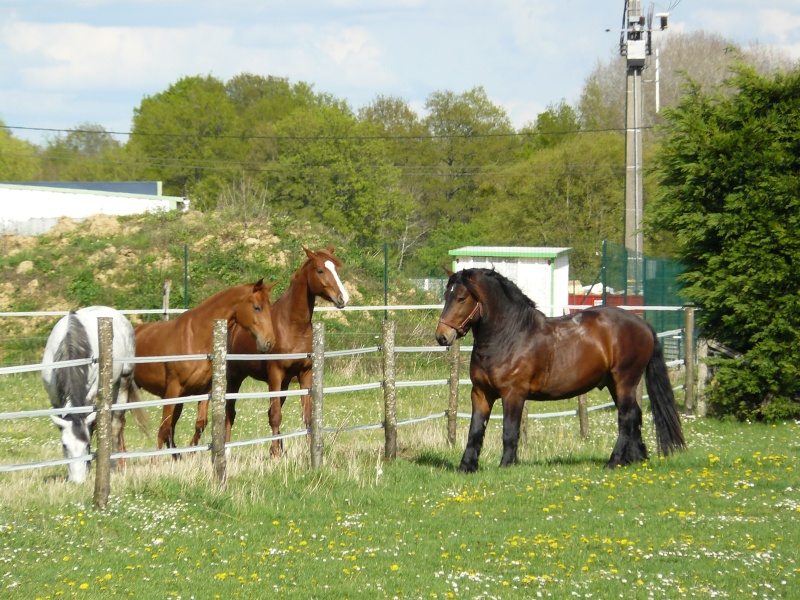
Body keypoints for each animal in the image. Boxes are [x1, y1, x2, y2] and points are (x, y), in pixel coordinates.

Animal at [133, 278, 276, 452]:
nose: (270, 342)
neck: (195, 337)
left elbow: (200, 424)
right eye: (257, 307)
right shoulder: (172, 390)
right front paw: (156, 458)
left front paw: (190, 453)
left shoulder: (205, 390)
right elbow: (164, 428)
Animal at [191, 246, 350, 452]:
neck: (292, 326)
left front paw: (307, 449)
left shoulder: (304, 374)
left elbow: (307, 416)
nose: (343, 298)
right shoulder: (275, 374)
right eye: (320, 270)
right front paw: (274, 453)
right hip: (233, 377)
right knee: (225, 413)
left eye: (336, 269)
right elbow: (275, 416)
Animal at [434, 268, 684, 474]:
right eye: (446, 296)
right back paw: (634, 458)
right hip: (616, 384)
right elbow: (475, 430)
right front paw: (466, 467)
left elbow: (509, 430)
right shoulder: (480, 392)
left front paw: (506, 465)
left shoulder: (513, 394)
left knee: (627, 417)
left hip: (625, 381)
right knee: (635, 415)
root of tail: (643, 325)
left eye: (461, 298)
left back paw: (613, 462)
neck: (510, 335)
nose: (442, 336)